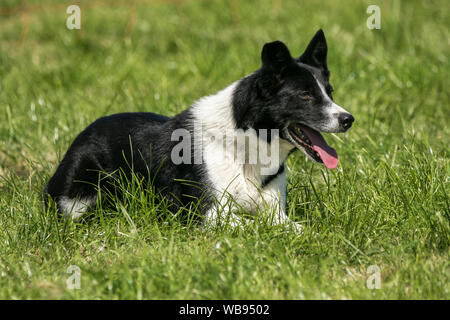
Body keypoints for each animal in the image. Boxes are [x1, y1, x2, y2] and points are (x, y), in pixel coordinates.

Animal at [45, 28, 356, 231]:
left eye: (329, 92)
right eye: (305, 95)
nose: (348, 119)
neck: (243, 144)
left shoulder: (276, 213)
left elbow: (297, 228)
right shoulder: (210, 214)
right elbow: (254, 226)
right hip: (77, 200)